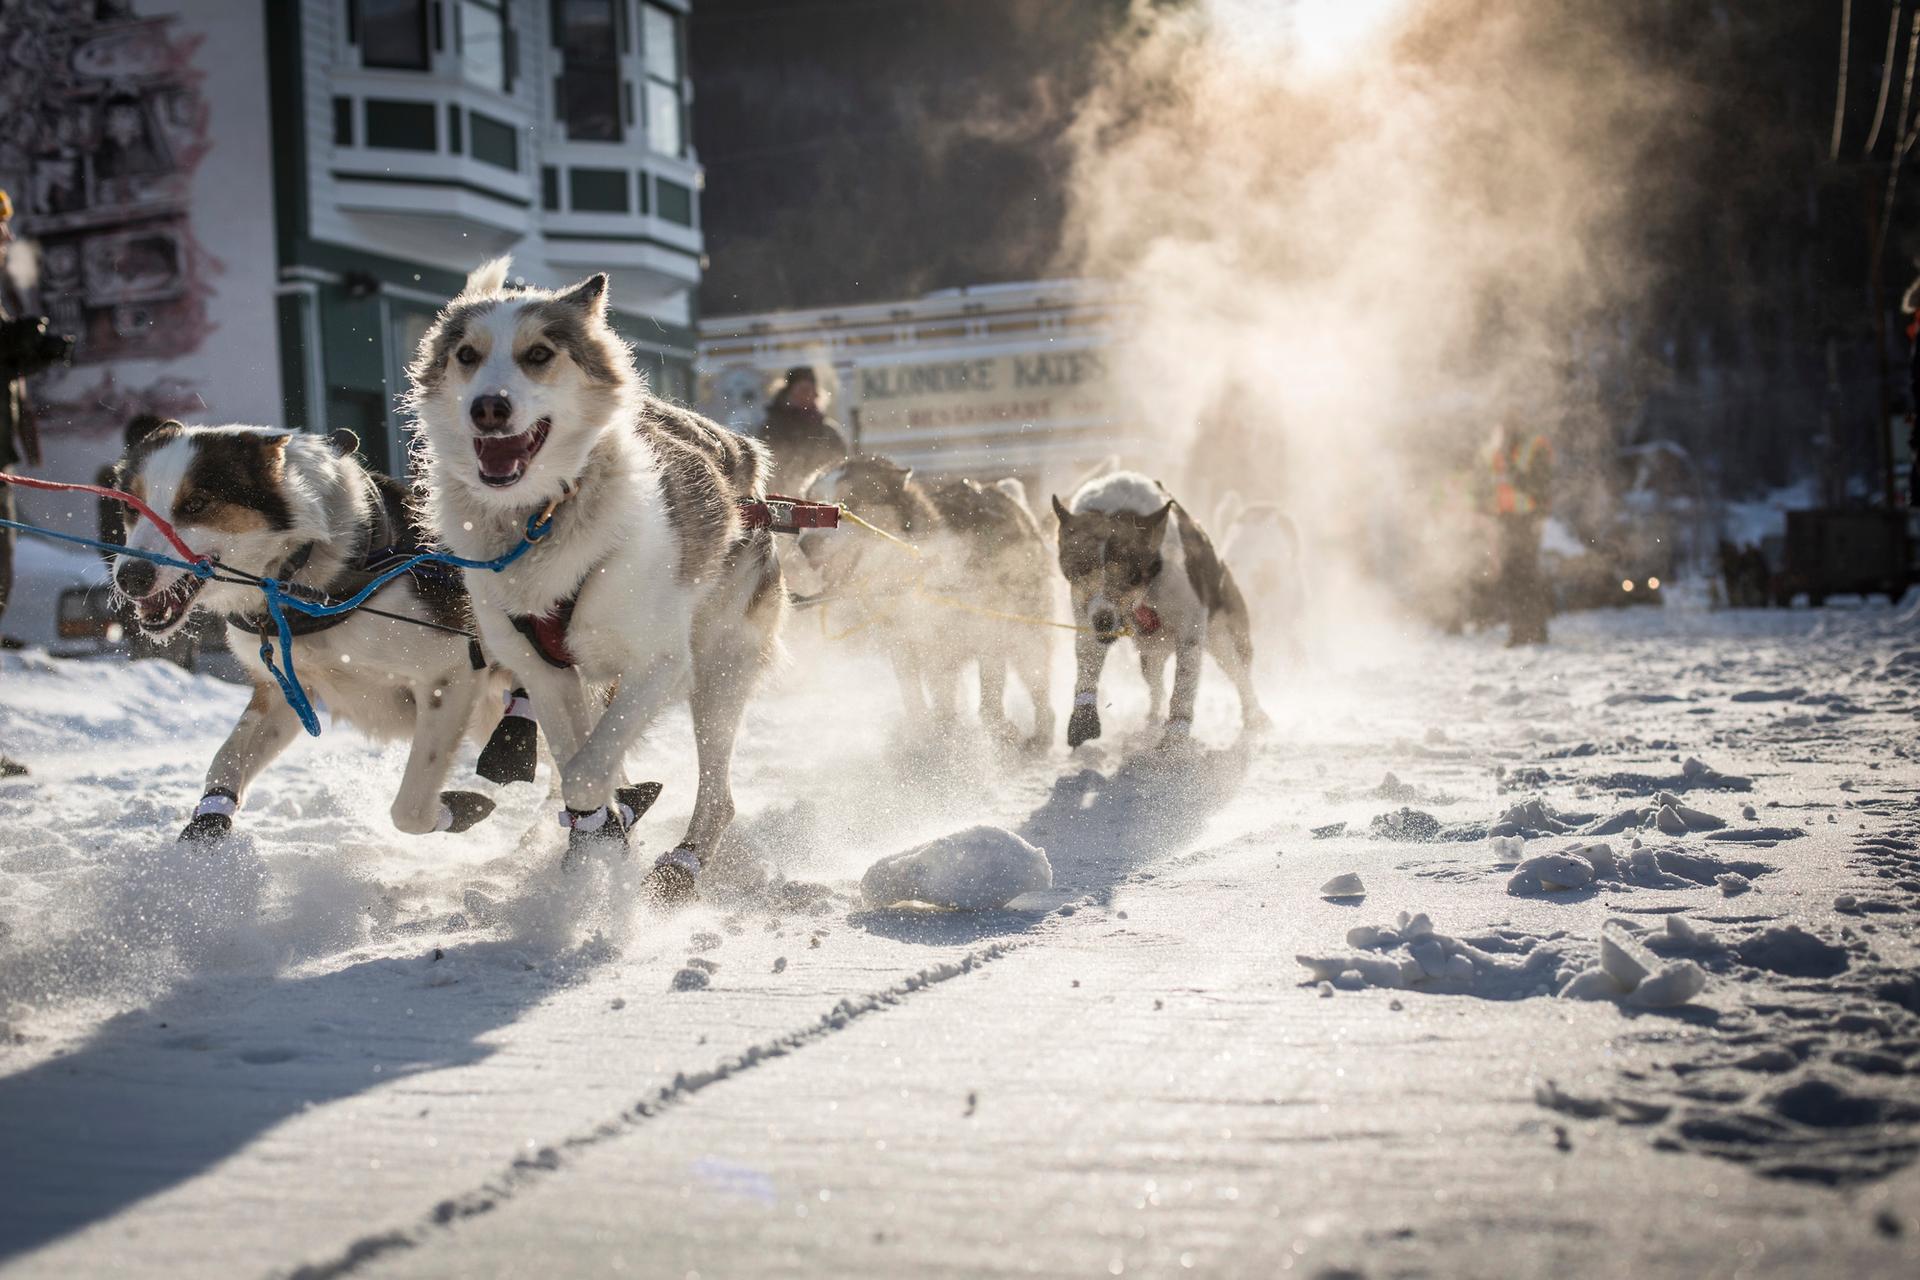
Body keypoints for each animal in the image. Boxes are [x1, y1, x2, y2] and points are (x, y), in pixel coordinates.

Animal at [109, 420, 506, 840]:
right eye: (130, 507)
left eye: (196, 504)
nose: (131, 576)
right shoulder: (285, 689)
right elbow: (228, 757)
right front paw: (209, 821)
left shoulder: (451, 674)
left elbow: (410, 808)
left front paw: (456, 809)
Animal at [408, 257, 783, 901]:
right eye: (467, 354)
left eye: (538, 354)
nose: (488, 407)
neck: (541, 517)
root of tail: (746, 460)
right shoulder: (543, 672)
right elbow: (578, 763)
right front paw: (600, 840)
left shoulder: (660, 663)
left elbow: (586, 772)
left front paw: (614, 821)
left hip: (719, 670)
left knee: (719, 793)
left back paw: (683, 863)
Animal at [802, 454, 1059, 752]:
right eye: (810, 508)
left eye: (849, 503)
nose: (805, 544)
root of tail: (1000, 492)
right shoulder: (905, 644)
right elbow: (916, 699)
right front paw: (925, 737)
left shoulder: (986, 630)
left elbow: (990, 698)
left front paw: (996, 731)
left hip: (1026, 634)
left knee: (1039, 687)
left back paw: (1041, 733)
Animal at [1044, 470, 1267, 752]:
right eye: (1082, 569)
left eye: (1131, 575)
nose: (1104, 621)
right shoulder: (1085, 614)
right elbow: (1087, 661)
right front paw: (1083, 719)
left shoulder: (1190, 627)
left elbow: (1183, 686)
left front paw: (1176, 738)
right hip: (1149, 655)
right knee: (1156, 685)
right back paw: (1152, 720)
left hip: (1225, 637)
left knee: (1240, 676)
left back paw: (1254, 717)